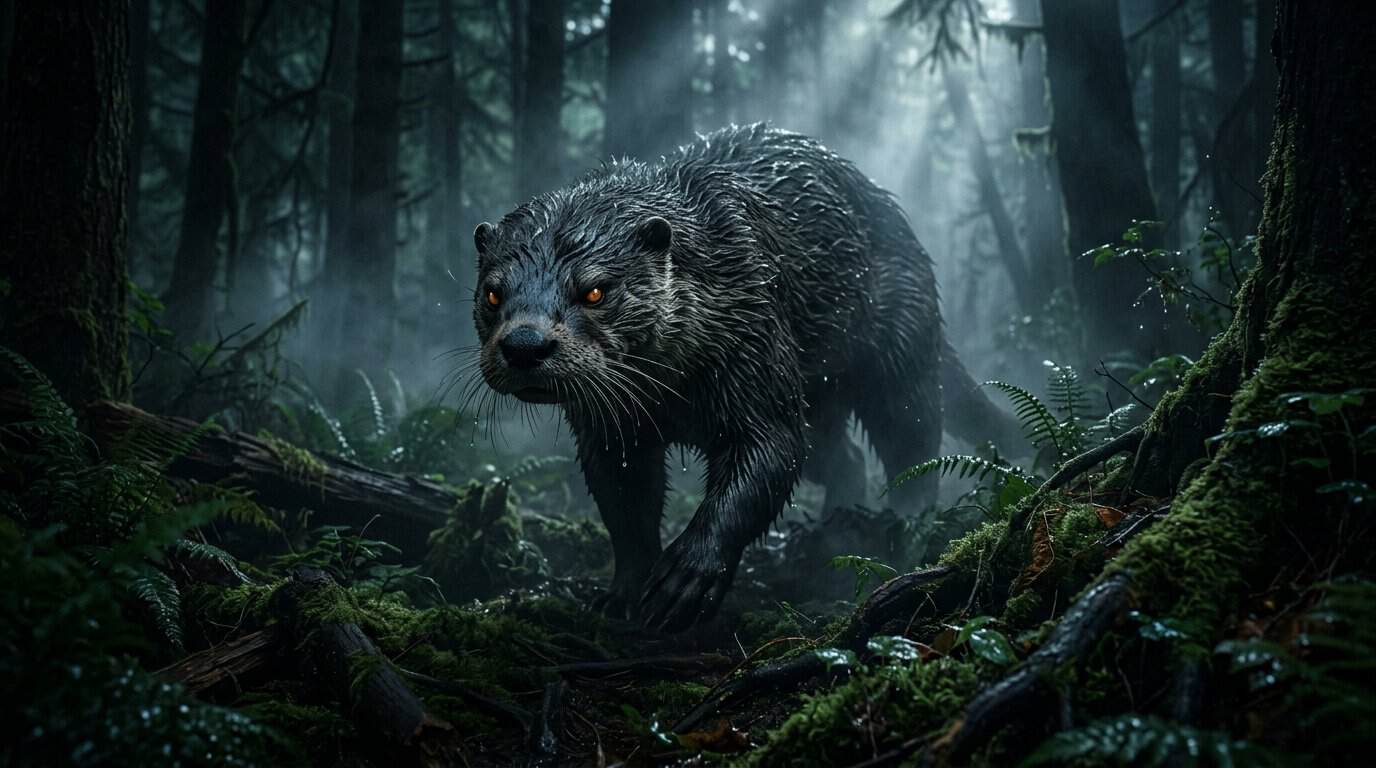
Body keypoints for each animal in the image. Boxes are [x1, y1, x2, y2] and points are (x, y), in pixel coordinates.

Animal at [472, 124, 1014, 631]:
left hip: (899, 342)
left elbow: (770, 451)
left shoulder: (753, 336)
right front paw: (623, 593)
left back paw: (902, 526)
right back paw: (833, 526)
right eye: (494, 293)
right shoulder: (611, 427)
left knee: (911, 436)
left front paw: (687, 576)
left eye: (595, 291)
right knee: (845, 458)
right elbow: (624, 502)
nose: (524, 344)